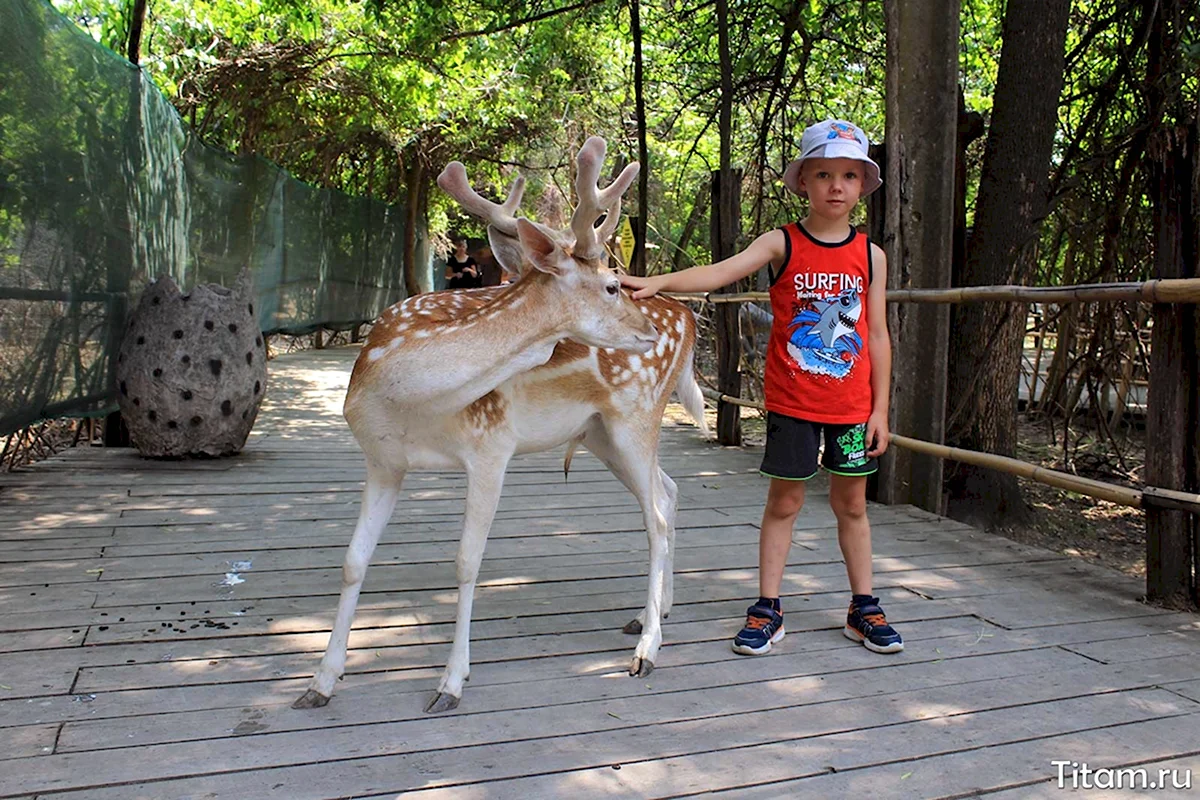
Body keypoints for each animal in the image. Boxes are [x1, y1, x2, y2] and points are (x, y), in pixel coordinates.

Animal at [294, 137, 705, 714]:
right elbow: (354, 560)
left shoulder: (491, 447)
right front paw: (321, 682)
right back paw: (654, 615)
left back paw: (647, 650)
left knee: (658, 519)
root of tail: (689, 320)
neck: (407, 399)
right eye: (610, 285)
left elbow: (467, 562)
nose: (645, 329)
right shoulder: (382, 460)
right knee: (668, 492)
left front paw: (450, 683)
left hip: (637, 416)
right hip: (599, 434)